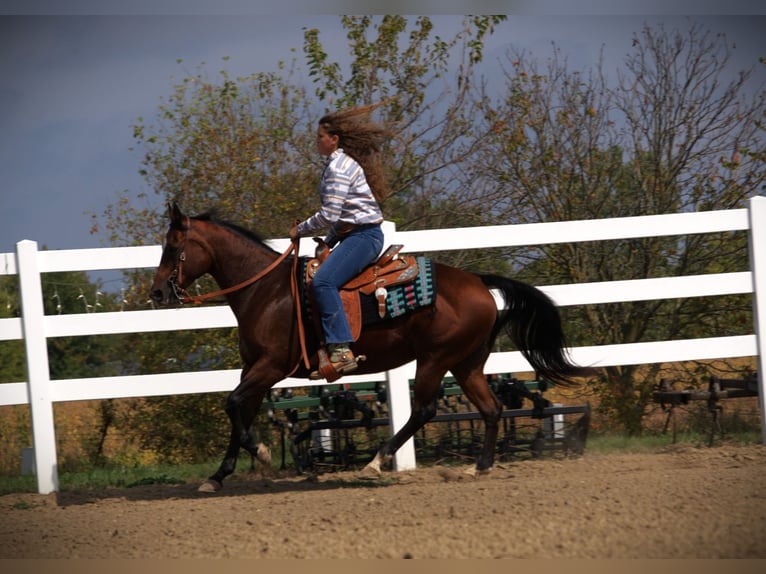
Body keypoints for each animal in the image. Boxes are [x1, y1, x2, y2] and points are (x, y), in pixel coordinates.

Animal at [149, 202, 593, 492]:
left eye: (172, 247)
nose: (157, 292)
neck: (267, 291)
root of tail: (479, 282)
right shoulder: (254, 369)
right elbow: (239, 408)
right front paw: (218, 476)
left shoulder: (271, 366)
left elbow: (232, 404)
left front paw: (258, 453)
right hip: (467, 363)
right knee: (491, 408)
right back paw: (479, 467)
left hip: (435, 359)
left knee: (425, 410)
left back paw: (377, 461)